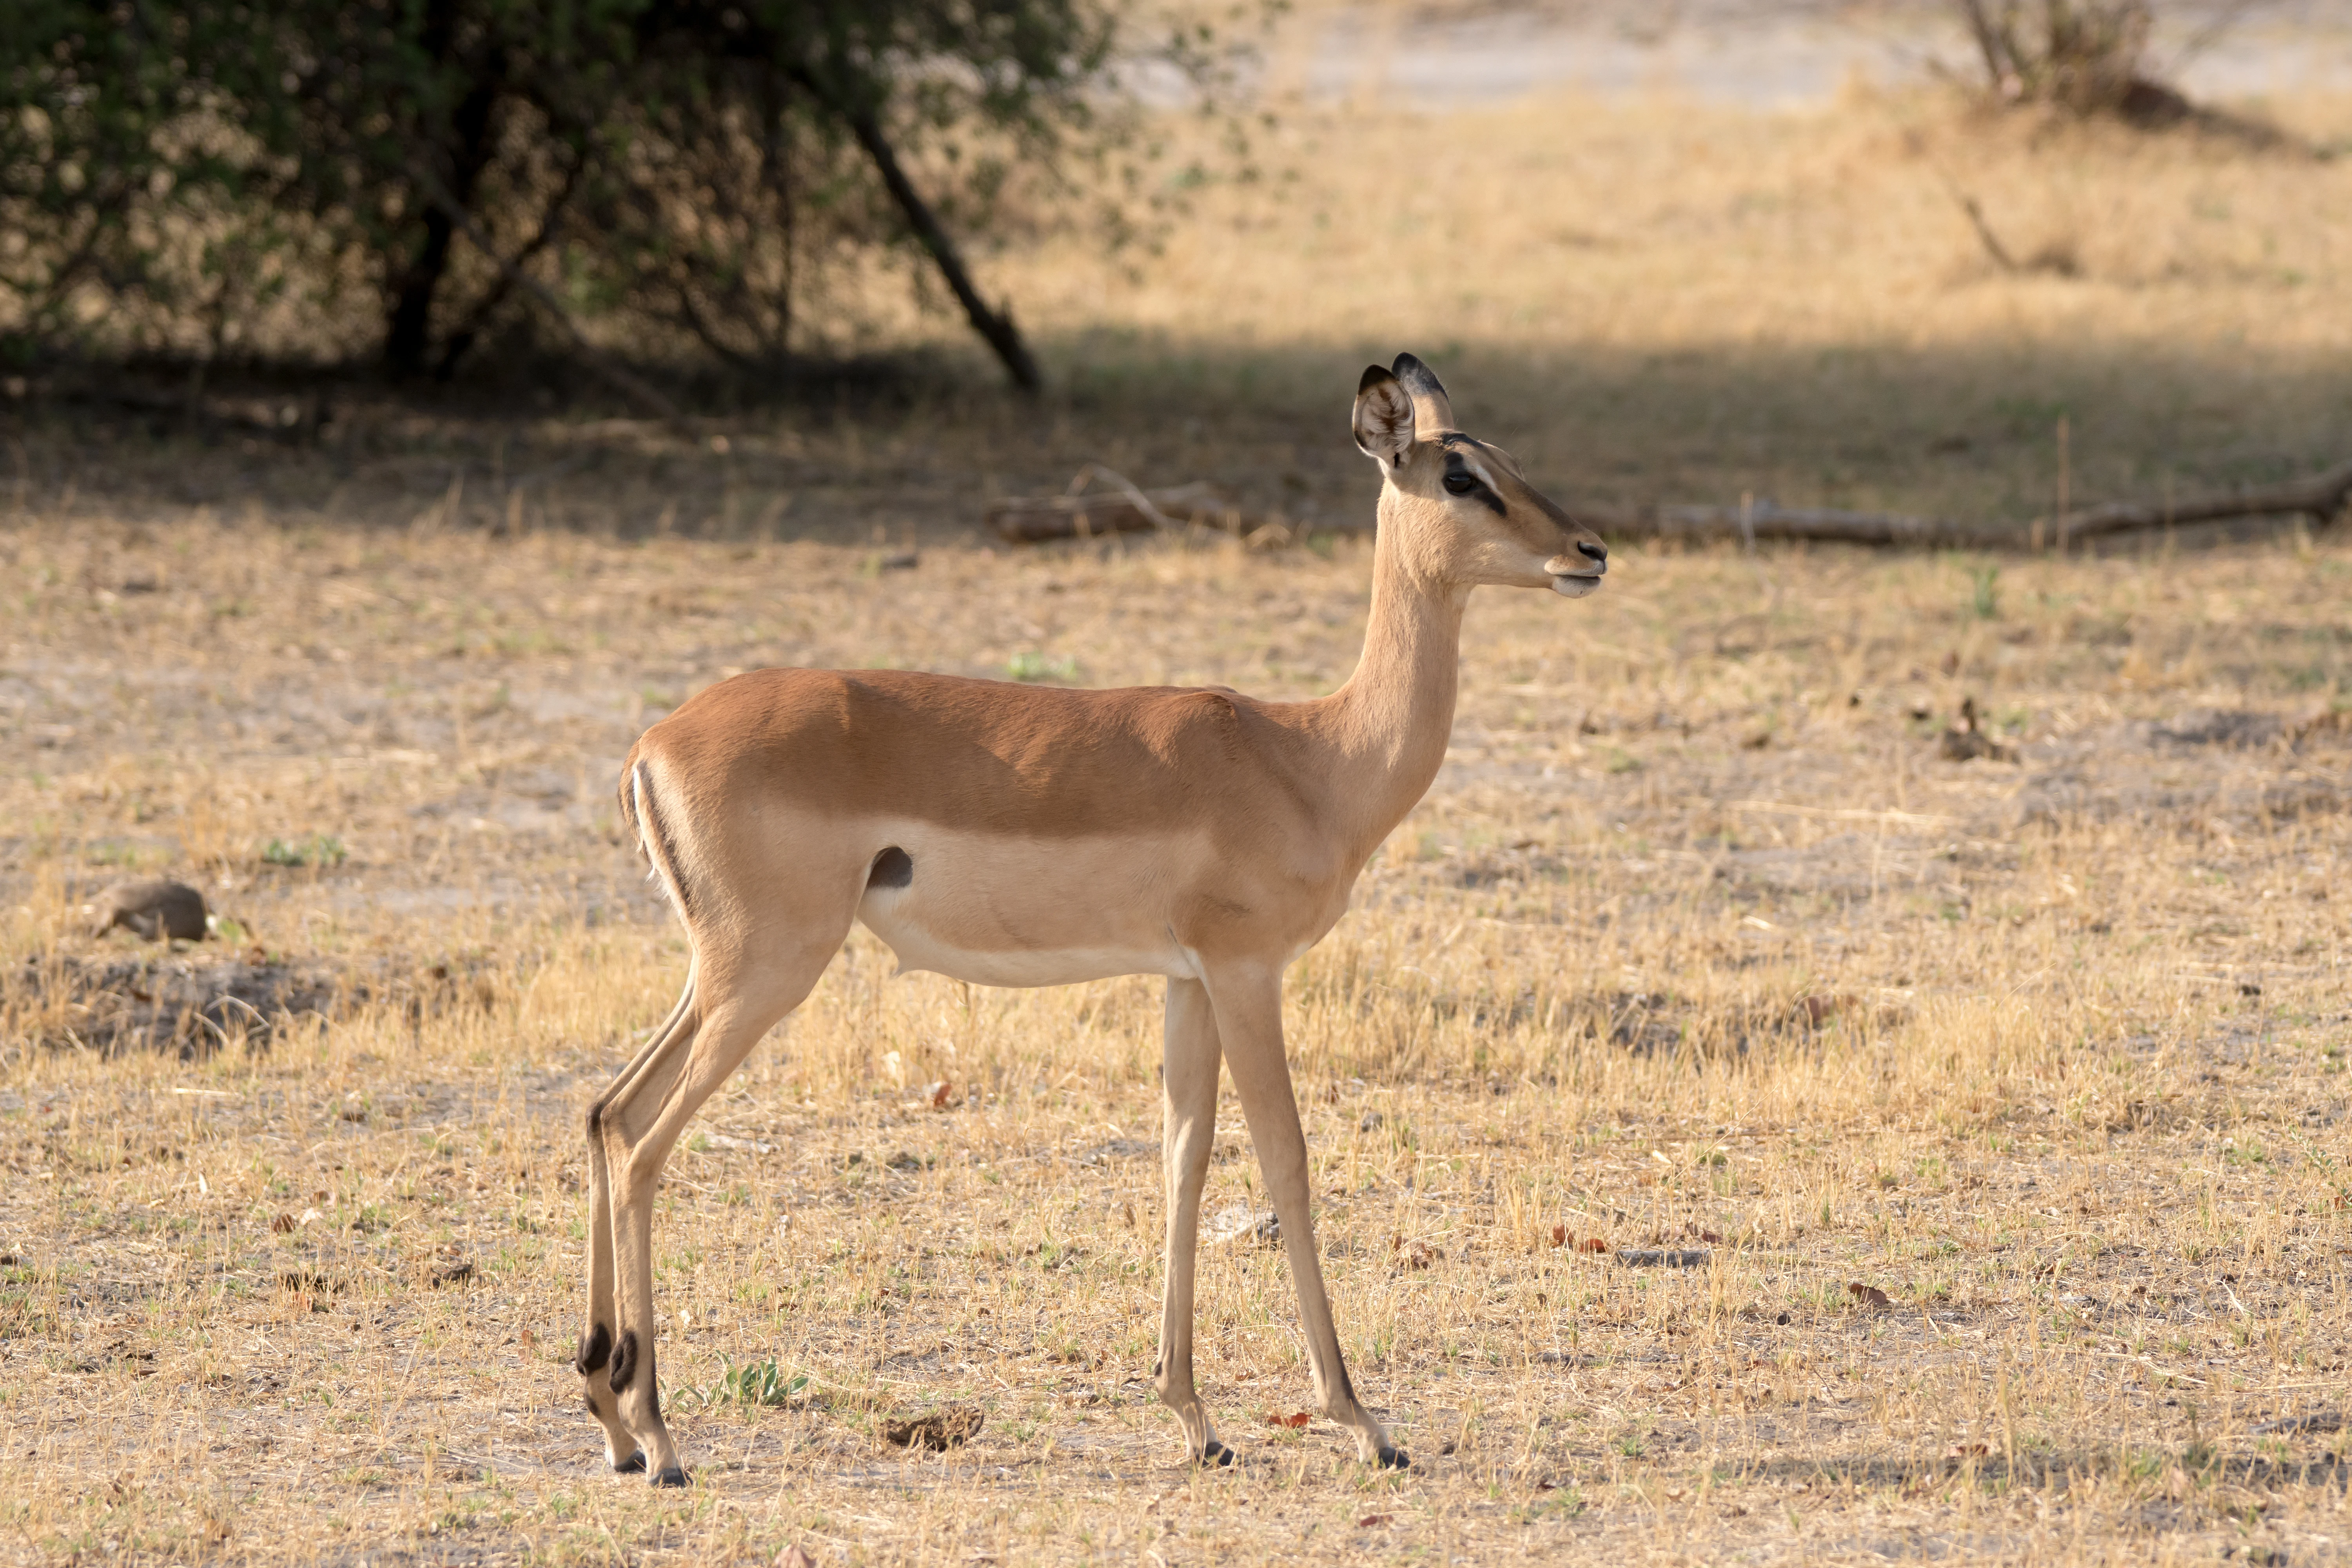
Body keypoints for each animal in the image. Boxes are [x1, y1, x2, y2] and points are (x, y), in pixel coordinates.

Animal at [575, 354, 1609, 1484]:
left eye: (1509, 457)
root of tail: (652, 744)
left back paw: (613, 1418)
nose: (1589, 551)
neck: (1313, 758)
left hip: (719, 972)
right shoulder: (1247, 970)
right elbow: (1287, 1161)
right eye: (1461, 476)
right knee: (645, 1145)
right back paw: (662, 1437)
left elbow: (1184, 1158)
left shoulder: (1186, 979)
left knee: (607, 1112)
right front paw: (1364, 1422)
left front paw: (1197, 1419)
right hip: (768, 970)